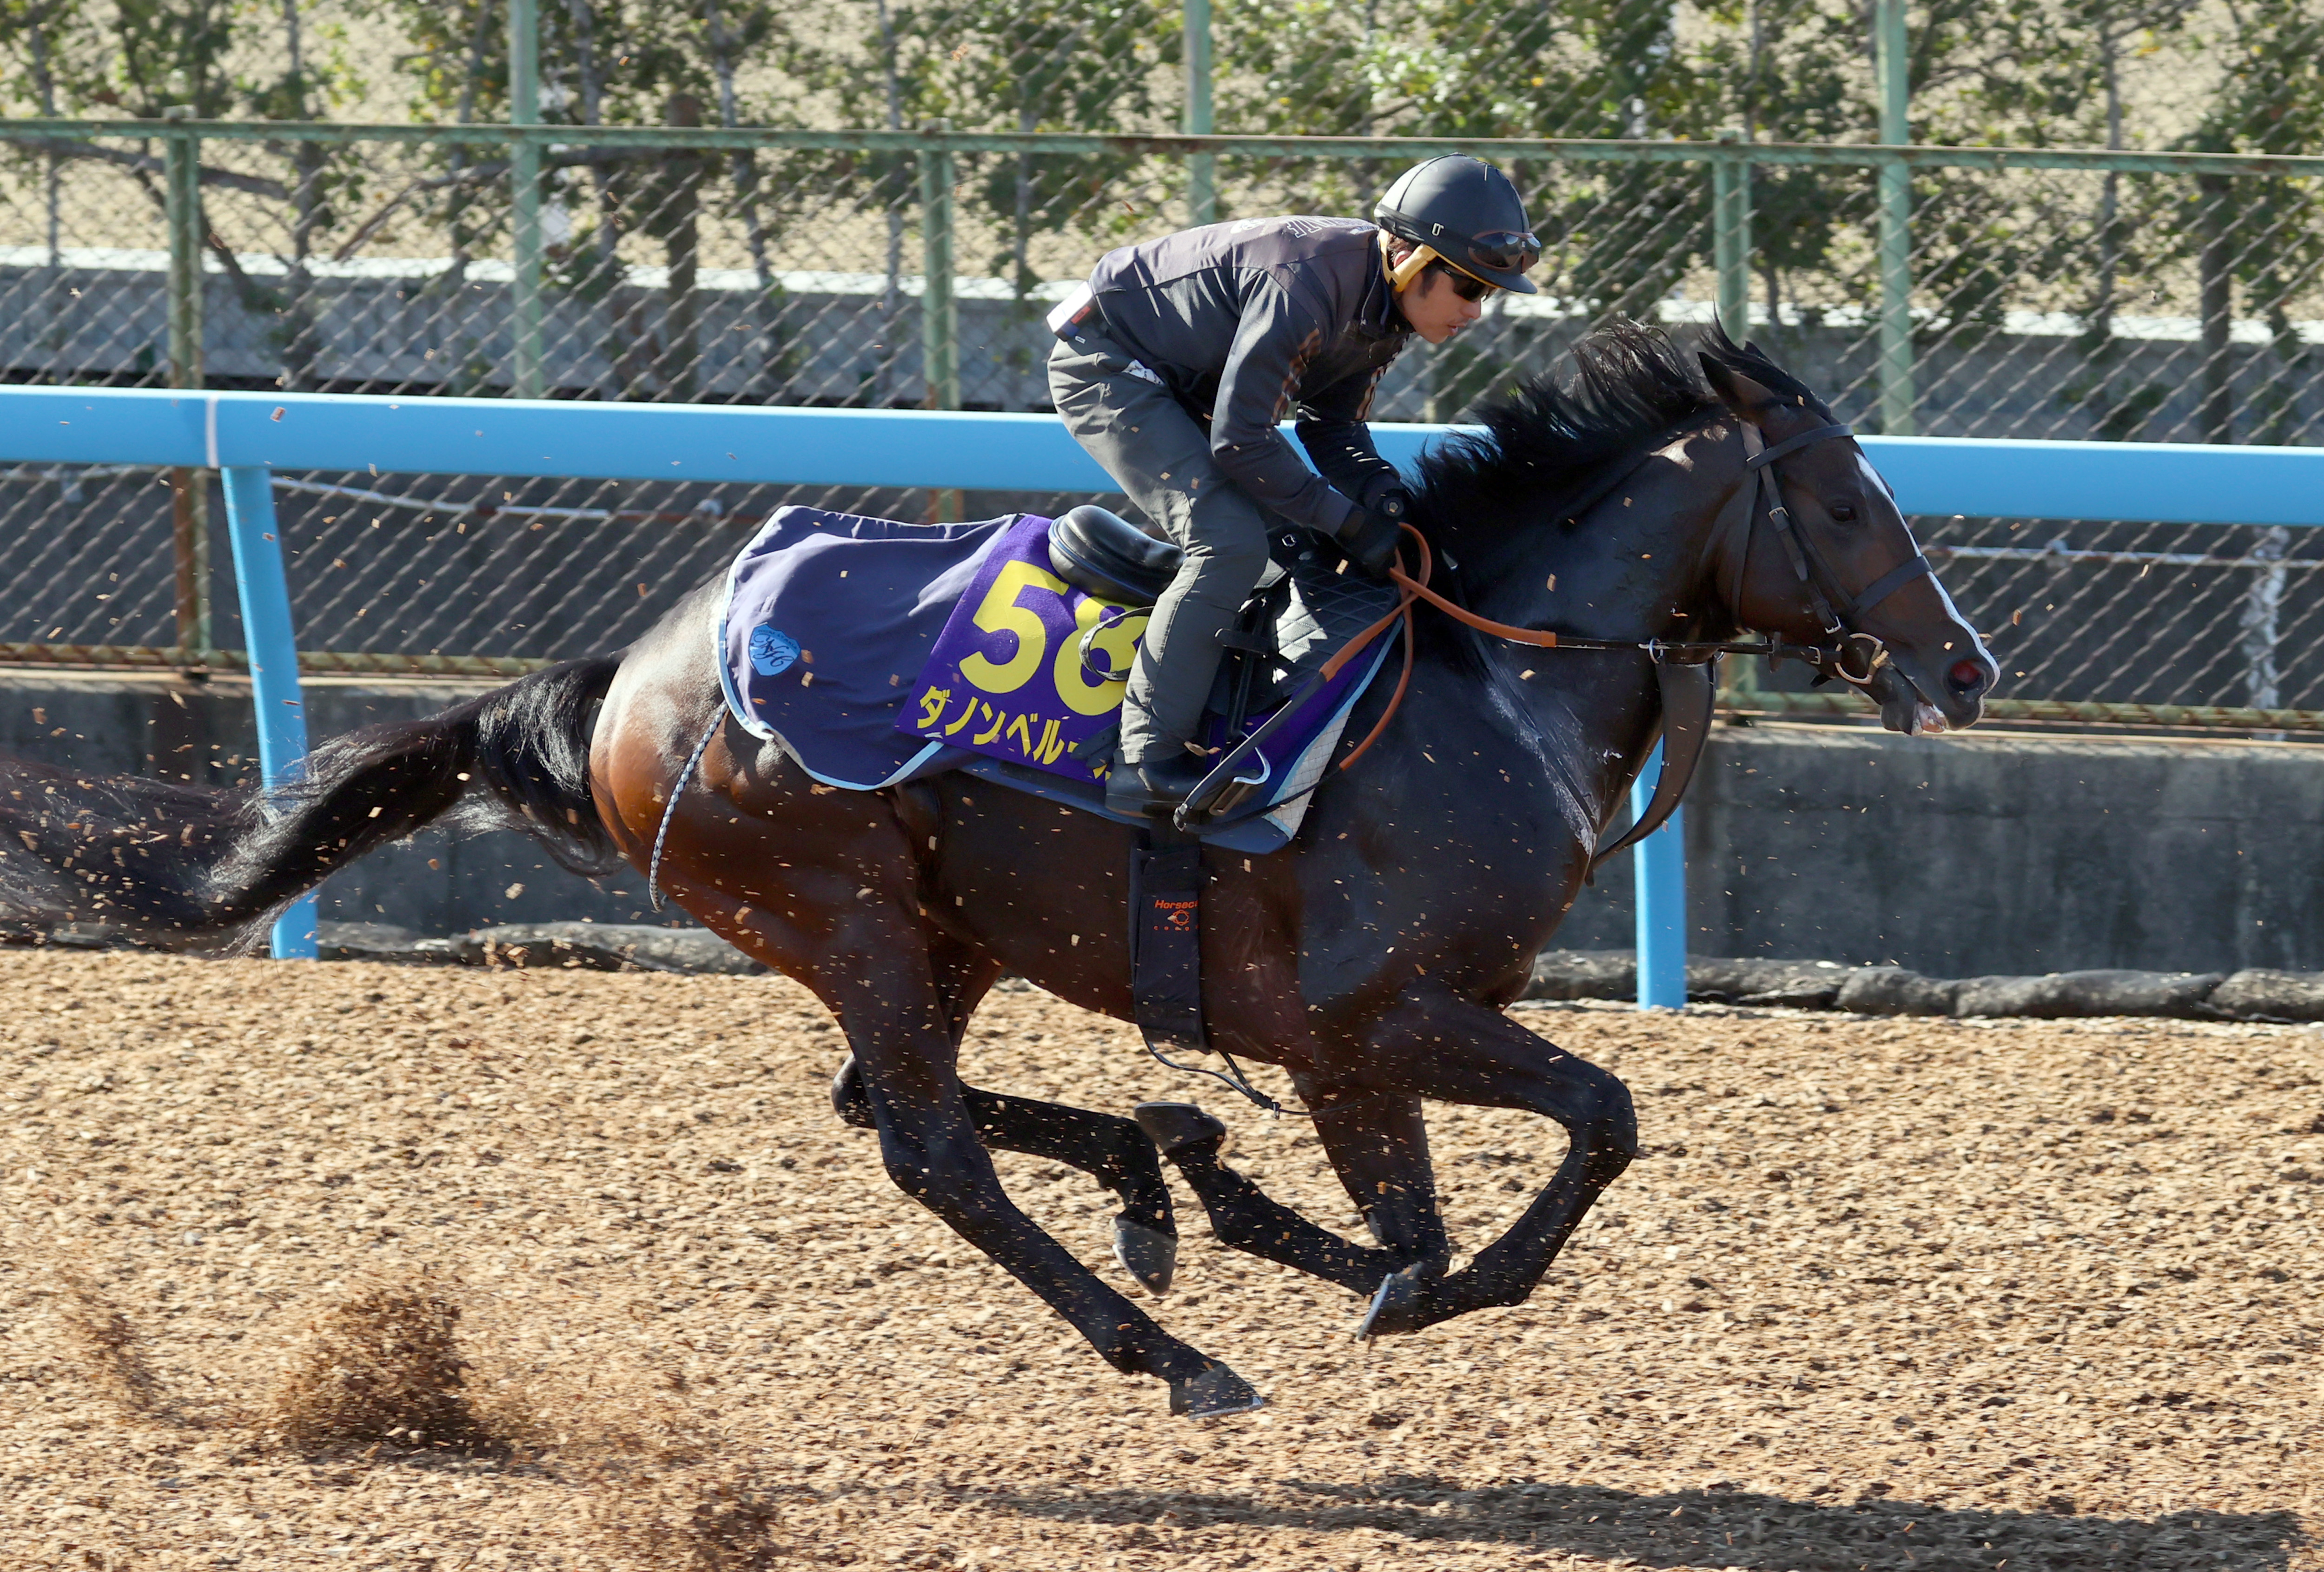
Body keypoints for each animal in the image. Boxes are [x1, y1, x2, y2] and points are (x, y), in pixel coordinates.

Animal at [0, 325, 1999, 1412]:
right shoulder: (1369, 1017)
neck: (1476, 681)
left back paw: (1152, 1177)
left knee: (894, 1106)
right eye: (1842, 501)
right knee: (928, 1148)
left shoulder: (1358, 1038)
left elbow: (1433, 1191)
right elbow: (1561, 1145)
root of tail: (626, 676)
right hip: (845, 907)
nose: (1963, 665)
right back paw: (1167, 1341)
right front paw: (1379, 1273)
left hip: (932, 923)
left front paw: (1240, 1195)